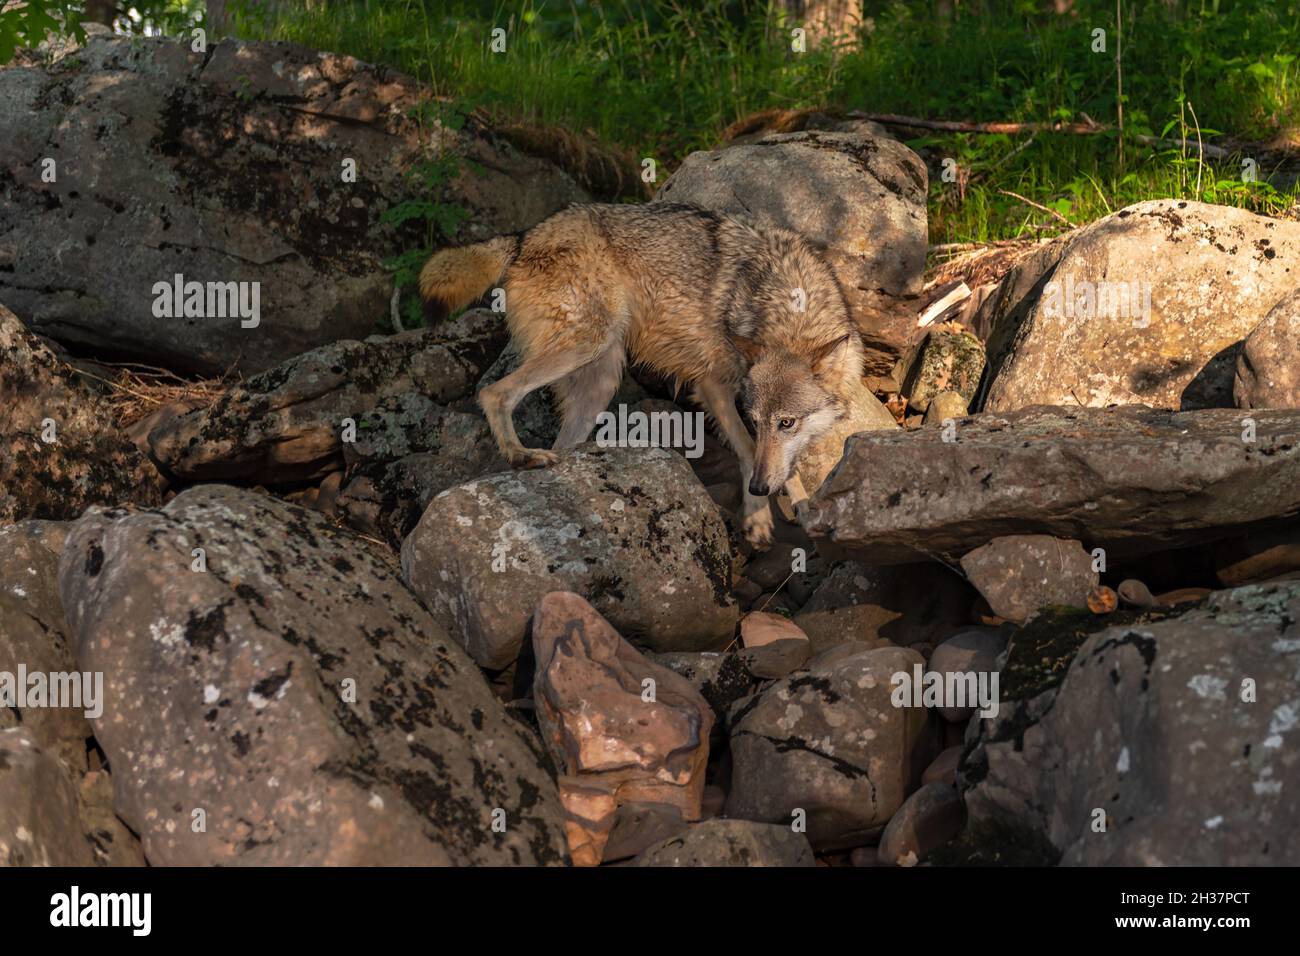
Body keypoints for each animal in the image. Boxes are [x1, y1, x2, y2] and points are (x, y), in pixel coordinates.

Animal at [418, 202, 865, 548]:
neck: (787, 308)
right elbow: (744, 449)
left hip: (599, 382)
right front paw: (757, 516)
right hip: (586, 345)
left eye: (786, 423)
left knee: (563, 442)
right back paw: (521, 455)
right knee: (494, 393)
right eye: (755, 421)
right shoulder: (712, 386)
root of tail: (525, 236)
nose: (757, 488)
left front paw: (800, 505)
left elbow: (783, 465)